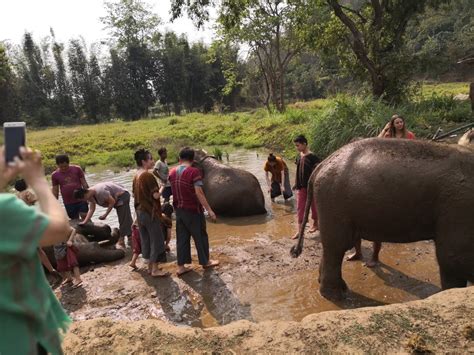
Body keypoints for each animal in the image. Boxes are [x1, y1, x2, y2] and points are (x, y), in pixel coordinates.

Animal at [290, 131, 472, 300]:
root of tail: (321, 164)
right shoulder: (459, 206)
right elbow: (453, 258)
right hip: (334, 201)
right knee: (337, 246)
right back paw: (337, 295)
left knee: (334, 246)